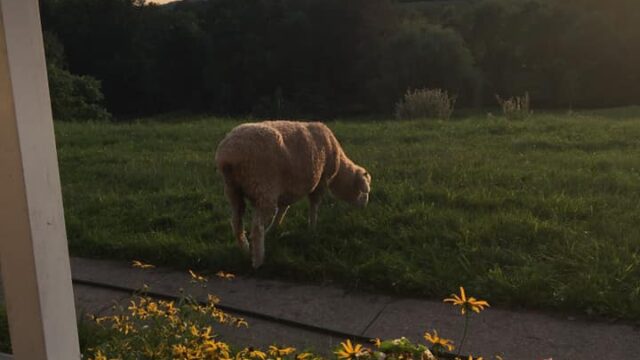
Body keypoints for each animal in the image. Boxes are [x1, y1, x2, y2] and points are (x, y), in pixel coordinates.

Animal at [218, 120, 372, 268]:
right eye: (364, 191)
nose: (364, 207)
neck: (339, 170)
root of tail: (228, 156)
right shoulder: (321, 181)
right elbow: (314, 206)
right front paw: (312, 228)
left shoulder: (286, 188)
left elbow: (282, 209)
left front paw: (274, 228)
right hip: (264, 188)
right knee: (256, 229)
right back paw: (258, 261)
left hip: (233, 190)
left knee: (236, 222)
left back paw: (244, 249)